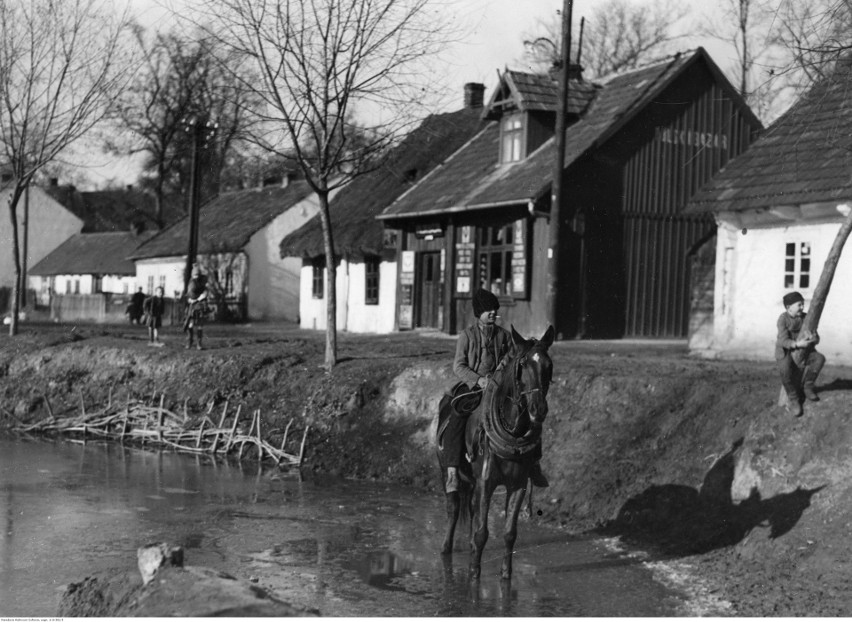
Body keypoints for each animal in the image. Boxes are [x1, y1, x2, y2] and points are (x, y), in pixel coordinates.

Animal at [436, 324, 556, 584]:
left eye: (548, 364)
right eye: (522, 364)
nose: (538, 409)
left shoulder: (518, 485)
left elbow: (509, 533)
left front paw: (505, 574)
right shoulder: (486, 482)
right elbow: (482, 532)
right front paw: (474, 573)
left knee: (471, 510)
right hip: (446, 470)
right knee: (453, 508)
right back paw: (446, 549)